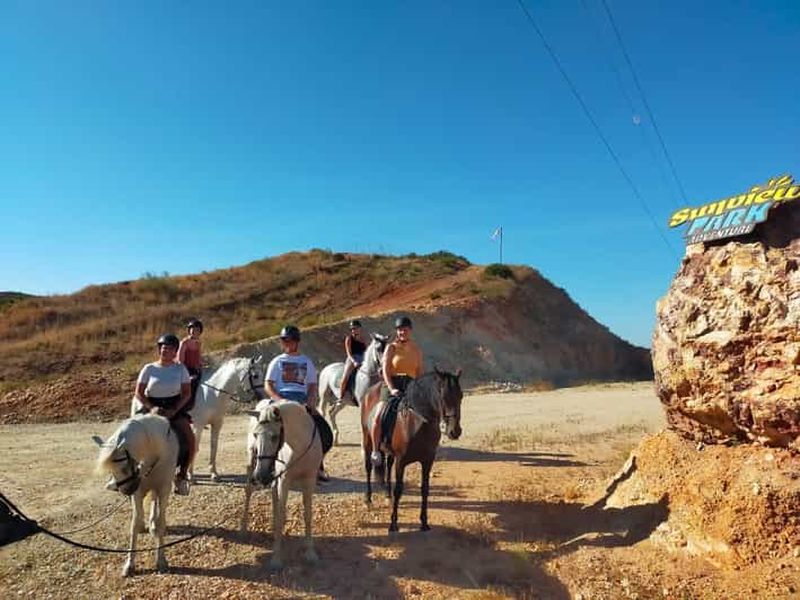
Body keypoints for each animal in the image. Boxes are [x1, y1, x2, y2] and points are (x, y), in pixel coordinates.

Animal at [93, 414, 178, 576]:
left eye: (122, 466)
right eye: (111, 470)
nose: (126, 491)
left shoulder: (164, 489)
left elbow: (161, 522)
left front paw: (161, 561)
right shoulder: (138, 494)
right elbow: (134, 523)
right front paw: (129, 564)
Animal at [130, 355, 266, 482]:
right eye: (255, 376)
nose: (263, 396)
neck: (213, 393)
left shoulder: (217, 424)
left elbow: (214, 447)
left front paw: (214, 473)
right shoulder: (198, 425)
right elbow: (195, 448)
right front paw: (191, 476)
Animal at [240, 399, 323, 569]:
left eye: (274, 436)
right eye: (256, 434)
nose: (259, 476)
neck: (300, 445)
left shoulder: (309, 480)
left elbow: (308, 515)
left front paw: (310, 553)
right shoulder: (284, 481)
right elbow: (281, 515)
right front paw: (276, 559)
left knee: (273, 495)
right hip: (252, 464)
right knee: (248, 491)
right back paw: (244, 529)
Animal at [361, 367, 463, 532]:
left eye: (461, 396)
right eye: (443, 396)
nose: (455, 431)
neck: (417, 422)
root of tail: (370, 391)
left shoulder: (427, 461)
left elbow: (425, 489)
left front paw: (424, 522)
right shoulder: (401, 461)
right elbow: (399, 489)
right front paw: (393, 524)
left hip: (390, 453)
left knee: (388, 466)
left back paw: (387, 496)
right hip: (367, 441)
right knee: (369, 467)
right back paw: (368, 500)